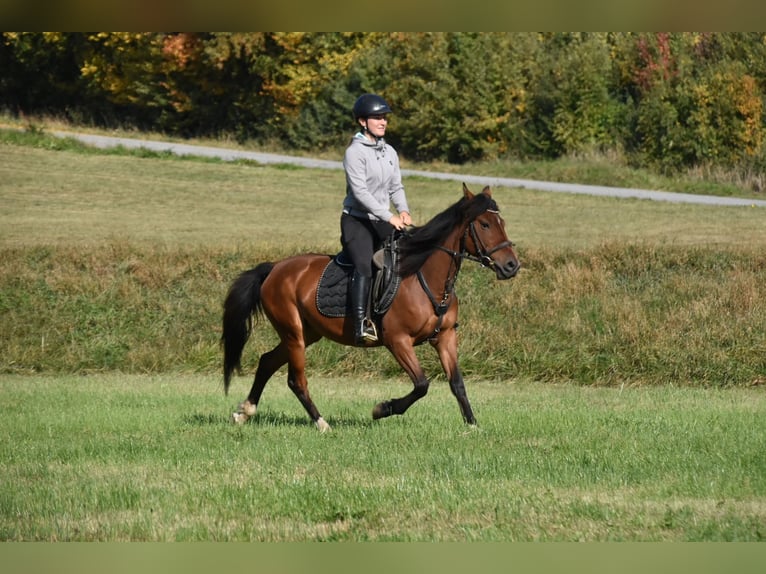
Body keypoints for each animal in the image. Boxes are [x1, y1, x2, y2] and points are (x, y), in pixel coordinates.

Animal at [221, 183, 520, 431]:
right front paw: (382, 409)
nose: (511, 266)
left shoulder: (445, 337)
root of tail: (274, 268)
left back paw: (244, 412)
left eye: (502, 222)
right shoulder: (398, 341)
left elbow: (457, 383)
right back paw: (322, 423)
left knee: (267, 361)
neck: (424, 277)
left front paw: (473, 425)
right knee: (297, 380)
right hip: (293, 333)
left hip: (306, 334)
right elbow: (421, 384)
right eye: (484, 224)